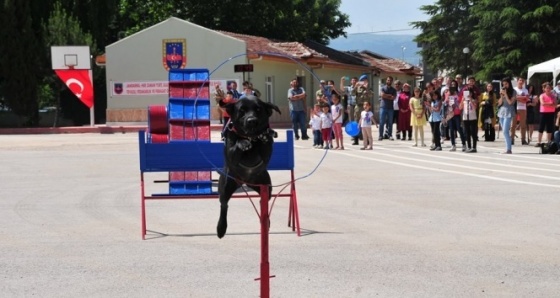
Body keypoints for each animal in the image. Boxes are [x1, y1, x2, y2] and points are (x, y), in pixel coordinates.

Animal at [218, 94, 280, 239]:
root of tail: (244, 182)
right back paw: (221, 228)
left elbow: (266, 141)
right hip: (225, 186)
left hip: (265, 186)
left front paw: (264, 136)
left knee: (263, 201)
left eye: (258, 109)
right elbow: (238, 143)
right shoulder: (231, 155)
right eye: (242, 110)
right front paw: (243, 143)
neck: (251, 137)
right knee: (224, 205)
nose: (251, 121)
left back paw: (266, 222)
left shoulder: (267, 153)